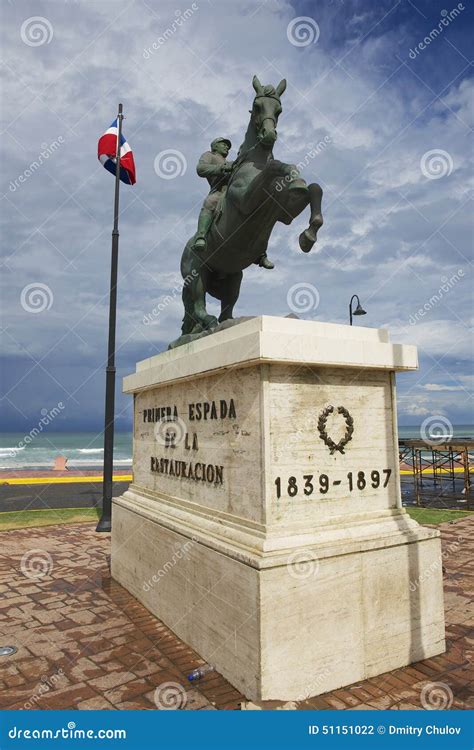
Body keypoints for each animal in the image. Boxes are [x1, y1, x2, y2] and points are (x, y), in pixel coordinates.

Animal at [176, 75, 324, 340]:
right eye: (256, 106)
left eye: (279, 109)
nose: (269, 135)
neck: (255, 162)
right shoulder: (246, 200)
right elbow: (275, 166)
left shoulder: (286, 210)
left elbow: (314, 189)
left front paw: (308, 236)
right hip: (196, 273)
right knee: (199, 304)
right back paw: (207, 322)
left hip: (233, 278)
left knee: (226, 310)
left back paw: (226, 323)